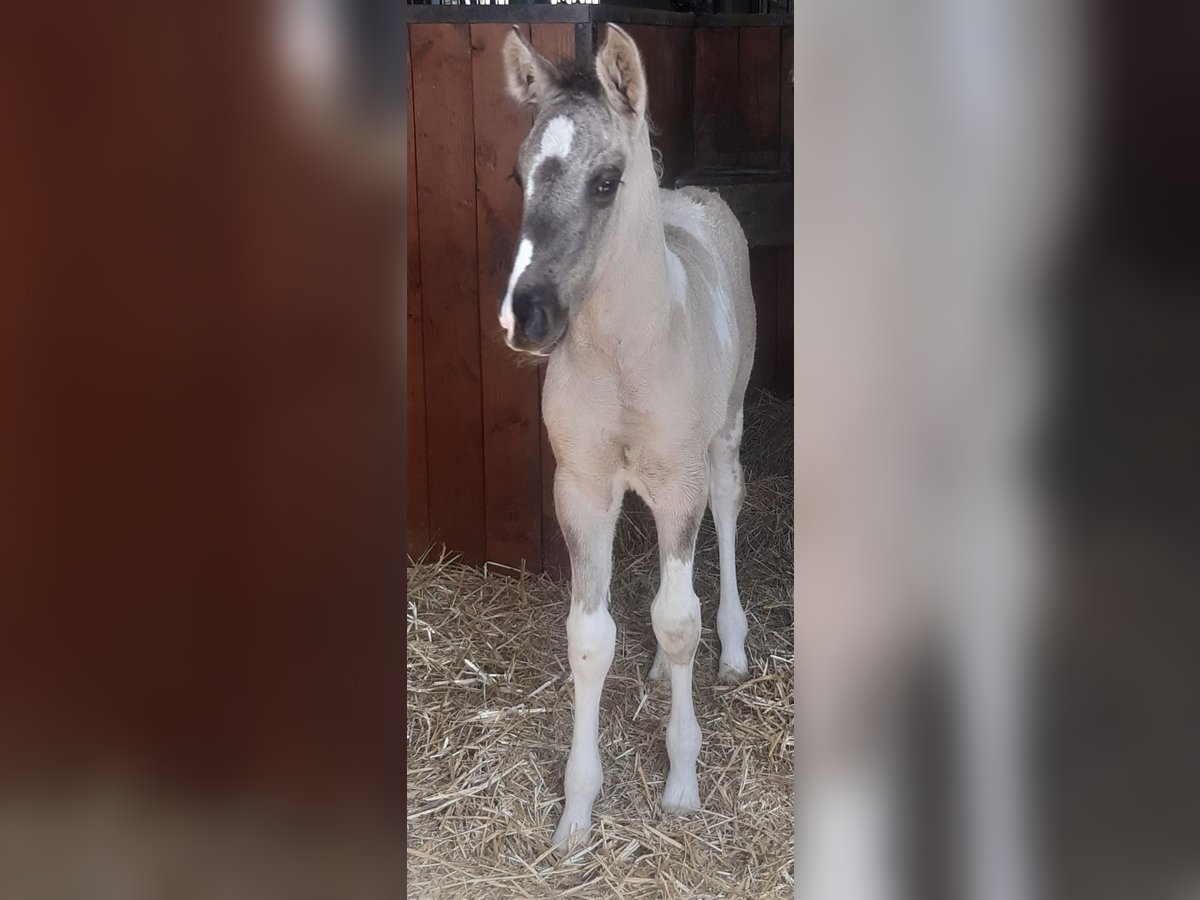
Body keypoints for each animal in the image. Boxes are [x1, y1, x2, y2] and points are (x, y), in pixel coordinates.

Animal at [501, 24, 753, 849]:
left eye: (607, 181)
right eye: (518, 173)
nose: (526, 317)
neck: (625, 354)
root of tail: (695, 196)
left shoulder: (680, 479)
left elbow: (677, 622)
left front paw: (681, 783)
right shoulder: (581, 488)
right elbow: (591, 637)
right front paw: (576, 812)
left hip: (725, 437)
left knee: (727, 516)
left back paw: (732, 647)